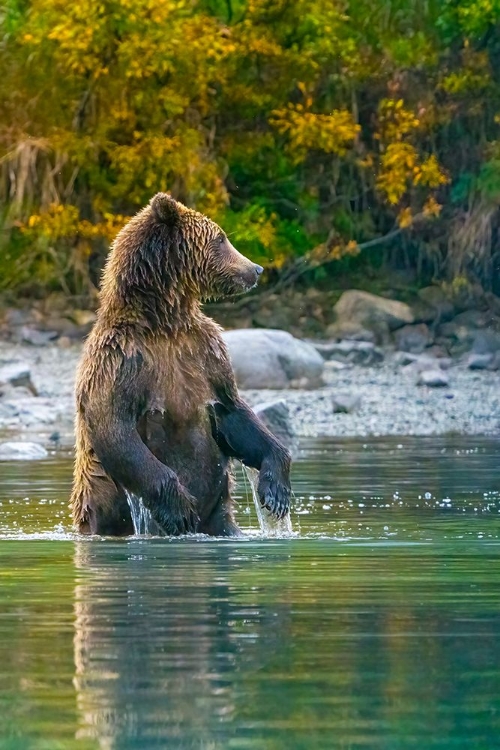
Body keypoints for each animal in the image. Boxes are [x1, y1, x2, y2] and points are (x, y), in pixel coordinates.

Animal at [69, 192, 290, 536]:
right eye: (221, 238)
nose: (256, 268)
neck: (164, 321)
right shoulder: (120, 358)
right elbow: (115, 426)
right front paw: (180, 508)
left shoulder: (205, 351)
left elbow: (233, 411)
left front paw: (276, 489)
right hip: (103, 502)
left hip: (219, 511)